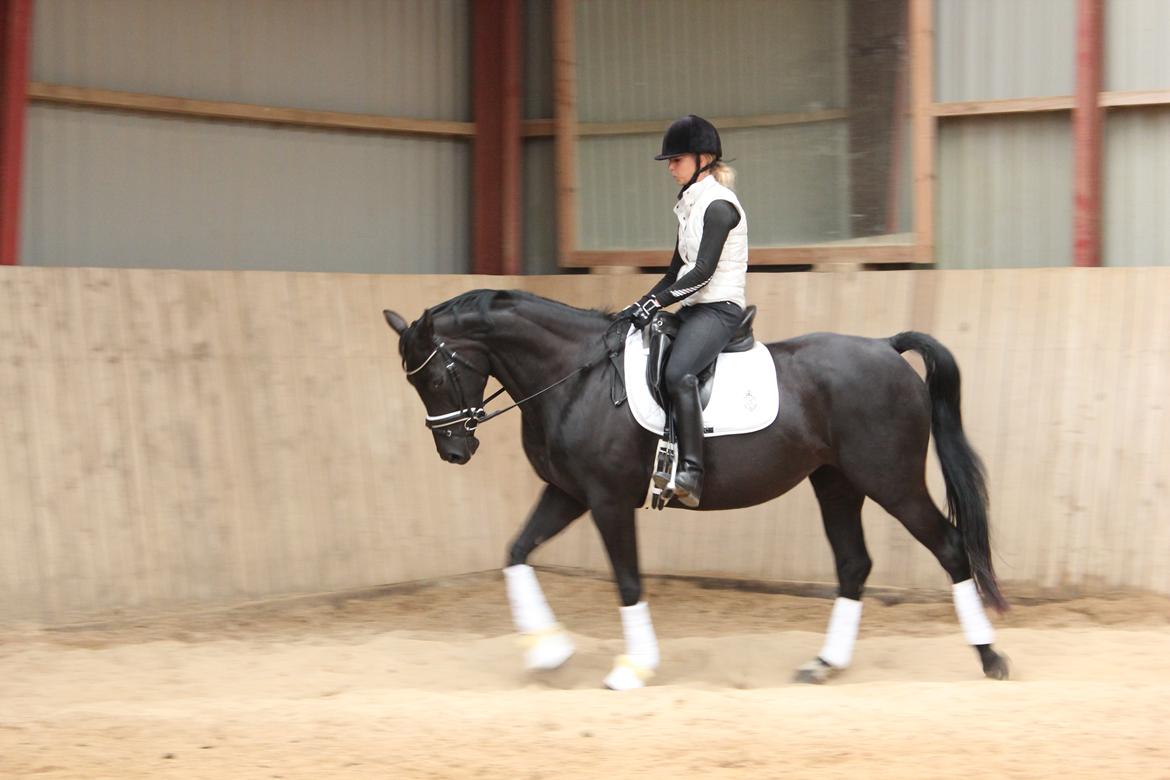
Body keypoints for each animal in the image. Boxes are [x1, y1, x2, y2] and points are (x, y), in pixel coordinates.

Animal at [383, 290, 1006, 687]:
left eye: (435, 376)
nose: (454, 451)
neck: (576, 377)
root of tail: (884, 346)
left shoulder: (607, 501)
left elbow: (628, 581)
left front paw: (633, 668)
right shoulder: (568, 494)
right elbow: (515, 552)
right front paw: (549, 651)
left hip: (890, 480)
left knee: (950, 548)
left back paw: (990, 659)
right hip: (836, 483)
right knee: (854, 564)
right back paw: (824, 664)